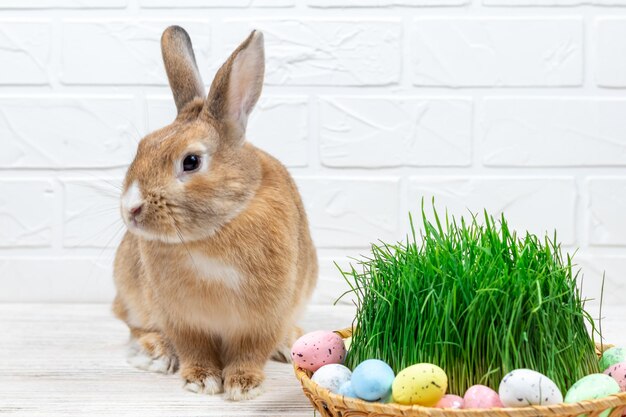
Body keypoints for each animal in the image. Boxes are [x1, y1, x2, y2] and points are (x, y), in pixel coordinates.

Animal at [109, 26, 316, 400]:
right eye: (143, 146)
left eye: (191, 161)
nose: (131, 208)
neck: (216, 230)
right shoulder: (183, 319)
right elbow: (194, 348)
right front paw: (201, 380)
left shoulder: (264, 317)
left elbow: (251, 351)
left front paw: (243, 386)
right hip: (130, 294)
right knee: (135, 326)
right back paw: (158, 353)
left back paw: (288, 343)